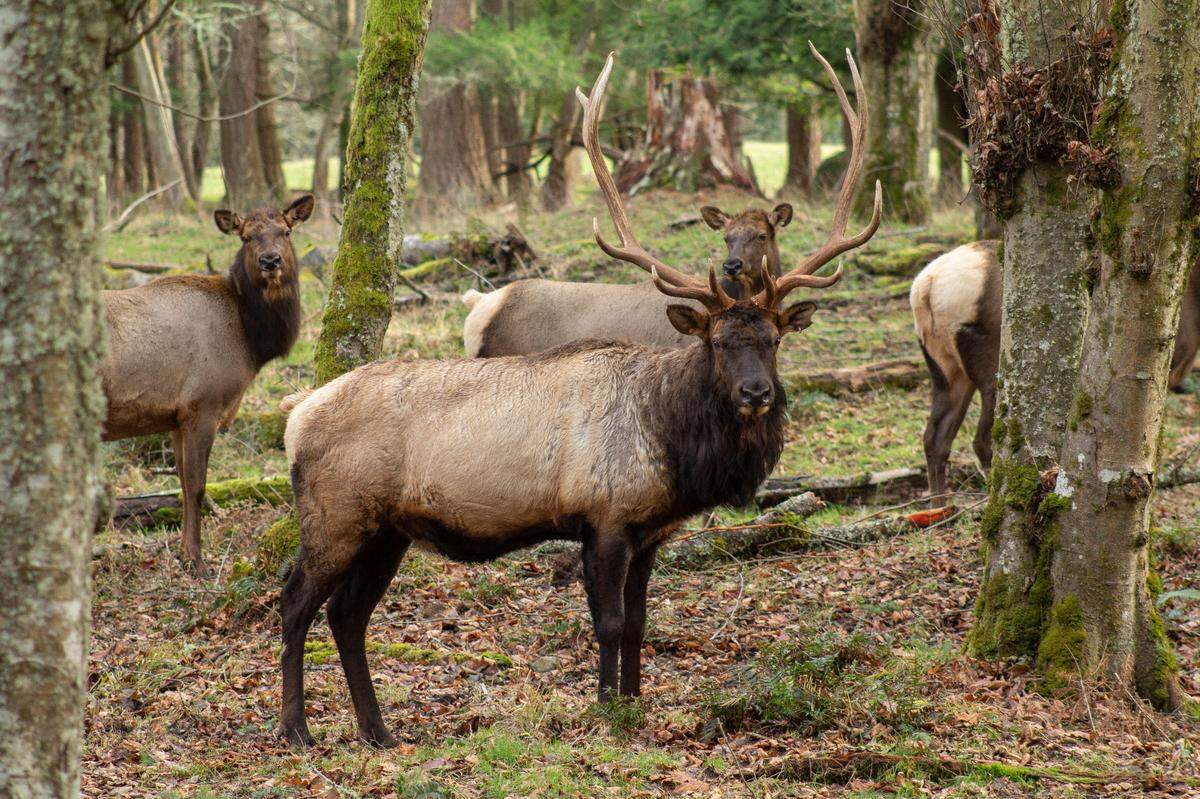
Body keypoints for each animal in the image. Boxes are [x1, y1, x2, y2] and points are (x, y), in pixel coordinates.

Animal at [101, 195, 314, 576]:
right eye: (246, 236)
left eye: (286, 231)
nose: (270, 261)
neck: (252, 342)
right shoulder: (204, 405)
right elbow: (198, 486)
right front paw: (197, 561)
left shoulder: (175, 417)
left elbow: (183, 485)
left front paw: (183, 554)